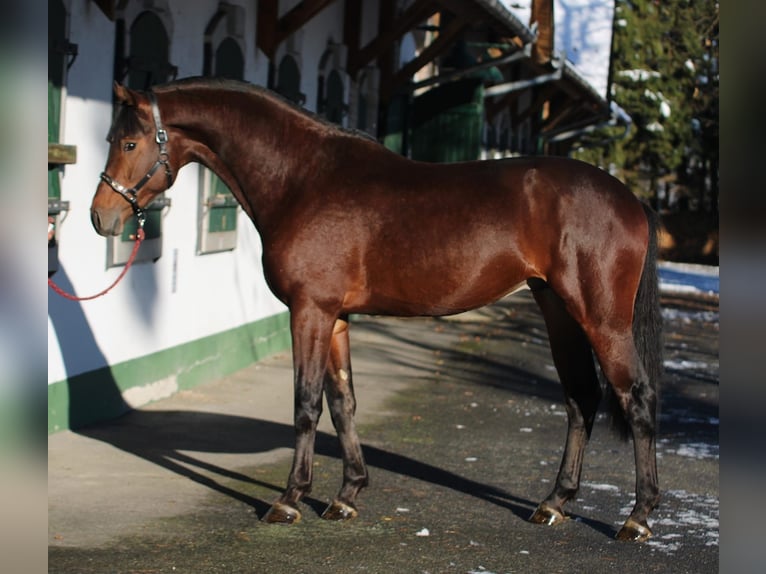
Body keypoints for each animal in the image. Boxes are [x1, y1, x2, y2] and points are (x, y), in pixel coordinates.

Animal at [91, 79, 664, 544]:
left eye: (129, 142)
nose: (102, 217)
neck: (303, 178)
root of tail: (631, 200)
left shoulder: (310, 311)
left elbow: (306, 404)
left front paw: (289, 500)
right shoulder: (336, 317)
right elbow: (343, 402)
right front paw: (346, 496)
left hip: (601, 319)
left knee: (636, 397)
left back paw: (637, 517)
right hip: (559, 311)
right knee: (580, 399)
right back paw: (554, 503)